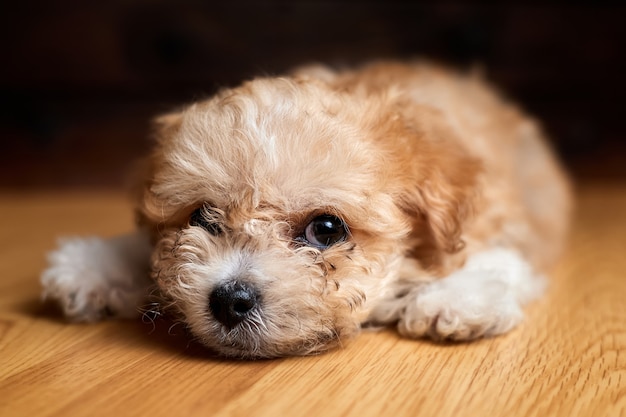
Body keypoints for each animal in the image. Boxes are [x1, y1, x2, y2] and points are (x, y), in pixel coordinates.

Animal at [42, 61, 572, 358]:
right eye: (202, 217)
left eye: (327, 228)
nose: (229, 299)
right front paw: (93, 266)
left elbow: (493, 258)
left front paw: (453, 297)